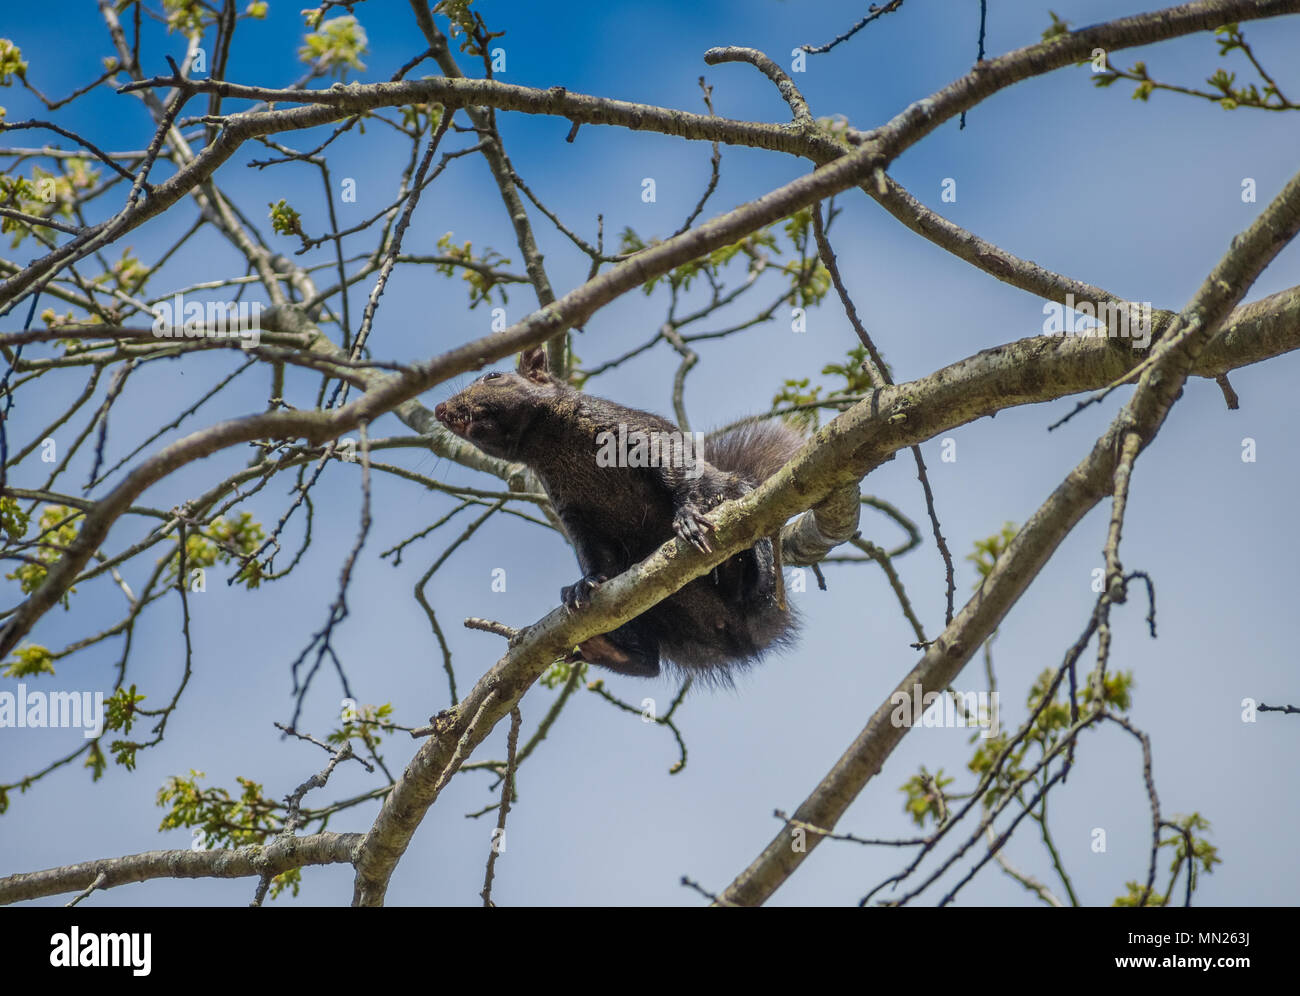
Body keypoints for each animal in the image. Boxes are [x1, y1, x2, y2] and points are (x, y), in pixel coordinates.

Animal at [436, 348, 800, 681]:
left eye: (493, 376)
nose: (440, 410)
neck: (549, 444)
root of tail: (742, 635)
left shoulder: (640, 433)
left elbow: (677, 468)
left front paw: (688, 516)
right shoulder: (574, 512)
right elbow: (593, 552)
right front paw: (584, 584)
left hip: (754, 550)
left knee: (752, 575)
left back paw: (733, 554)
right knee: (649, 664)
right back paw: (609, 649)